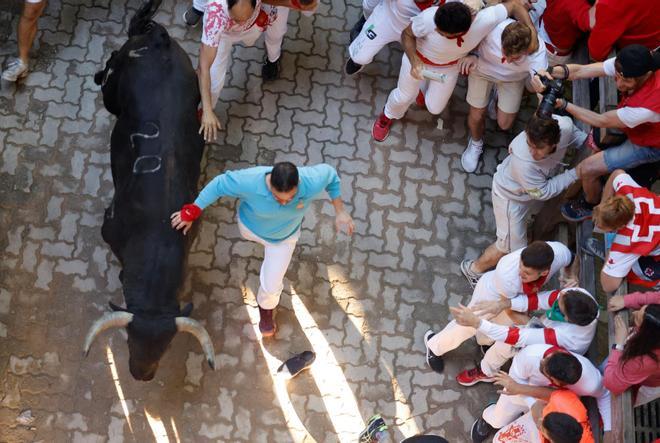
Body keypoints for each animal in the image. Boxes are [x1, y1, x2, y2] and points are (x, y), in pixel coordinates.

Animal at [82, 0, 217, 382]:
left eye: (166, 346)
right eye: (129, 340)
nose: (141, 374)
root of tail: (159, 39)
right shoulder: (108, 227)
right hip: (112, 94)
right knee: (110, 66)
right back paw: (99, 73)